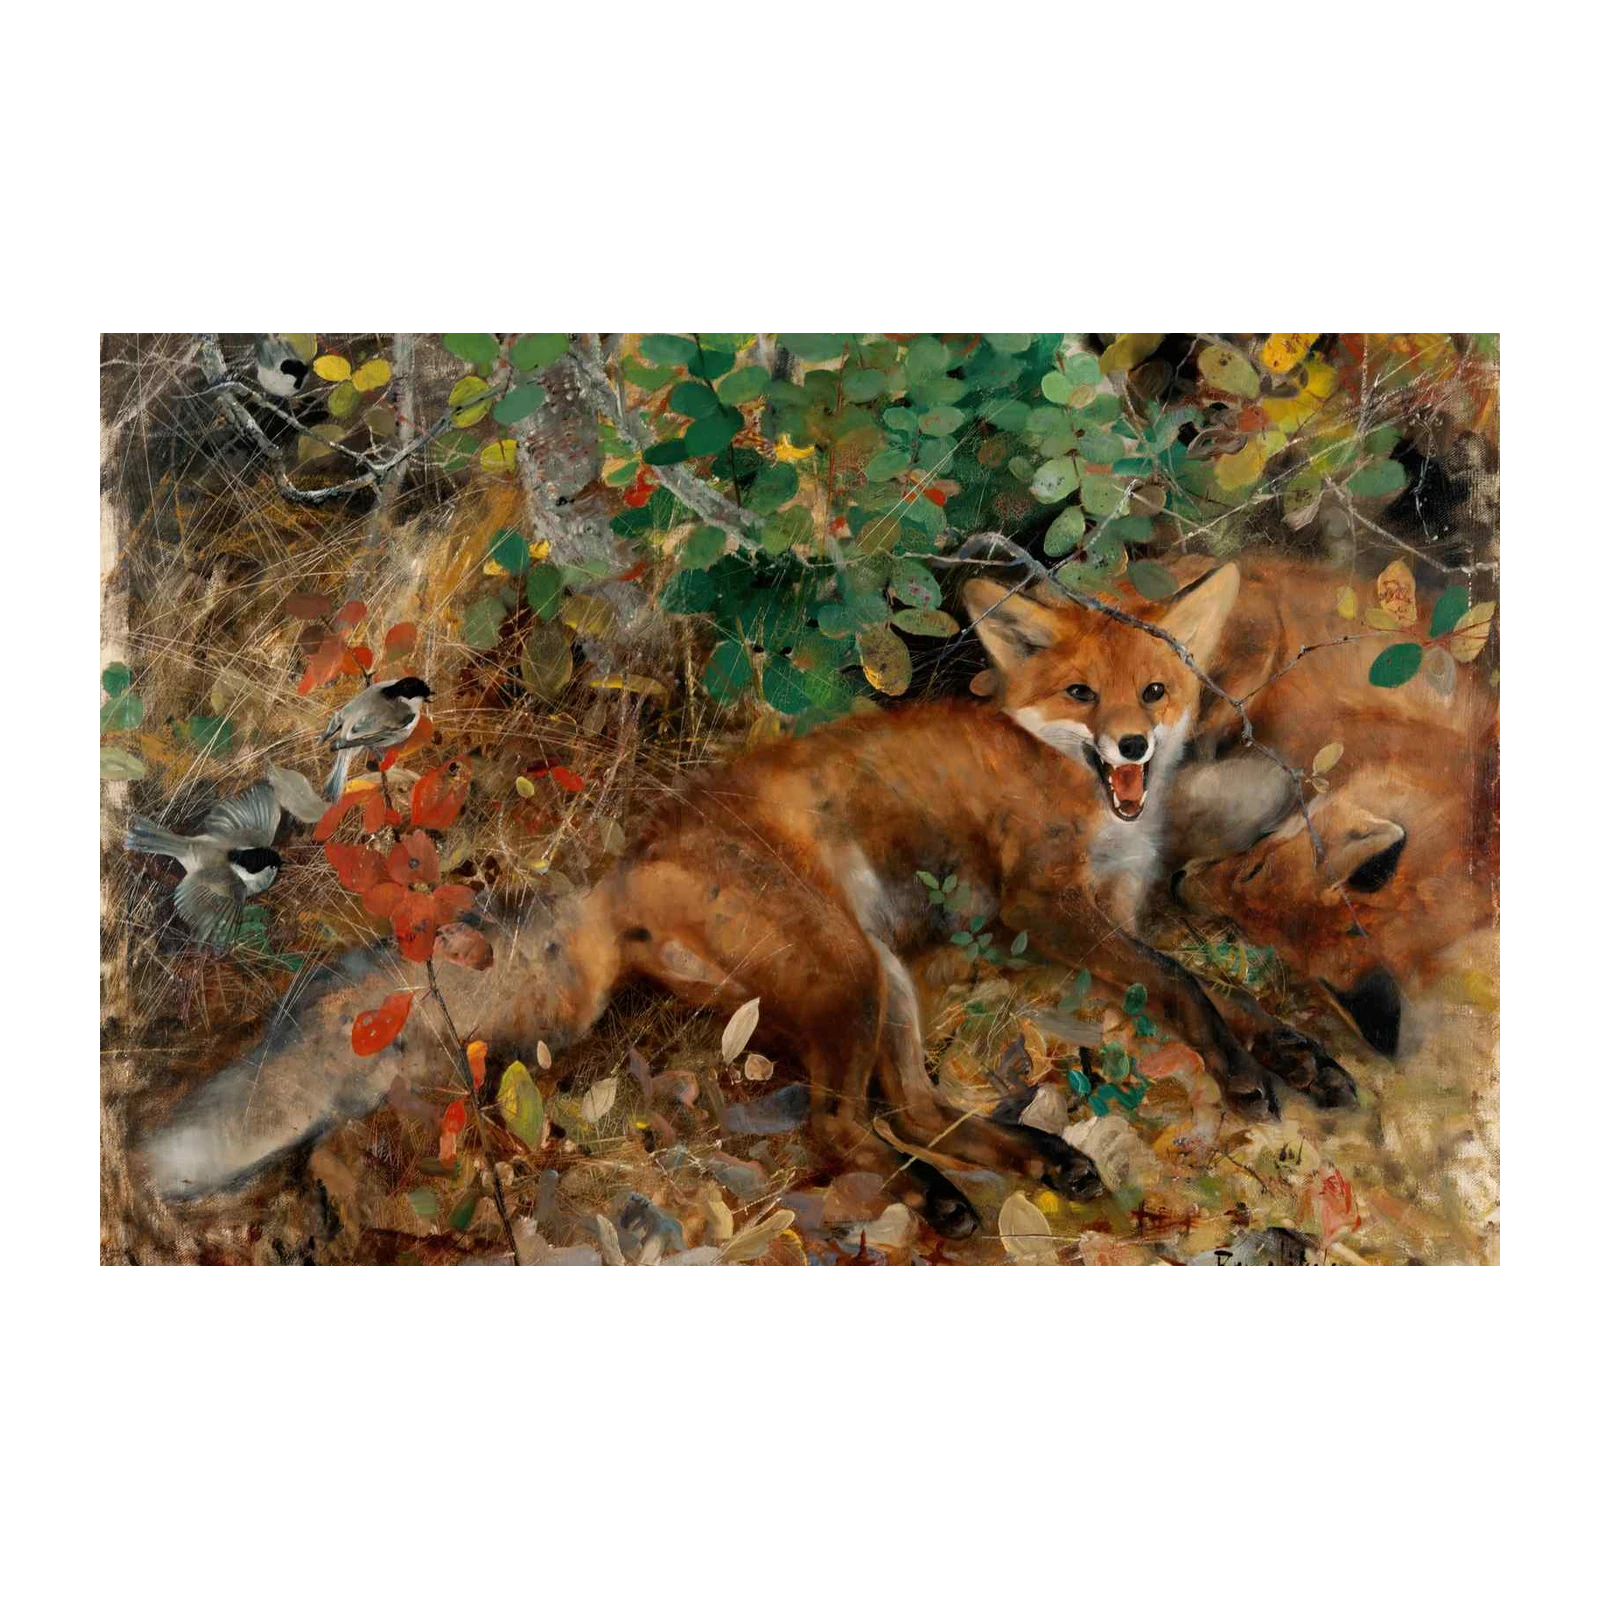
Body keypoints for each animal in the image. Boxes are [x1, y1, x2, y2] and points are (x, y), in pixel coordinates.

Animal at [136, 560, 1358, 1240]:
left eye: (1154, 689)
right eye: (1081, 695)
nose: (1136, 746)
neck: (1084, 795)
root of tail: (620, 868)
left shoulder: (1119, 911)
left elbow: (1224, 988)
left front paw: (1301, 1056)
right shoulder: (1050, 909)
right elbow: (1187, 983)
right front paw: (1247, 1077)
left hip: (883, 977)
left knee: (911, 1108)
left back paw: (1032, 1162)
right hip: (849, 971)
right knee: (842, 1123)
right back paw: (942, 1201)